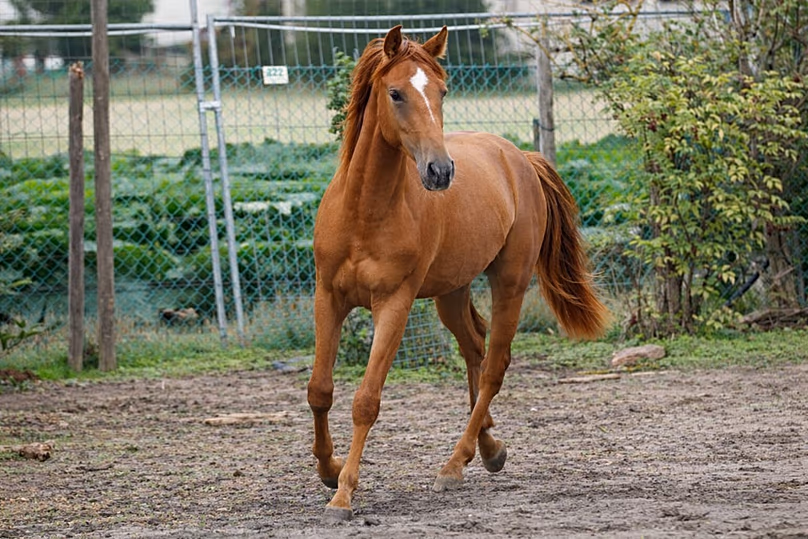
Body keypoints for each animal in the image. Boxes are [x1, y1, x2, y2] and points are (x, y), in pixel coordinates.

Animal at [307, 25, 609, 521]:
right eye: (395, 93)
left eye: (442, 92)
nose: (440, 171)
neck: (365, 211)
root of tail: (519, 157)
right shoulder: (327, 297)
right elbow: (320, 390)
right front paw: (329, 471)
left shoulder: (394, 304)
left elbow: (366, 400)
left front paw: (343, 494)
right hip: (451, 293)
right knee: (475, 346)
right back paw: (487, 447)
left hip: (509, 282)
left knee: (493, 367)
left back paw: (455, 464)